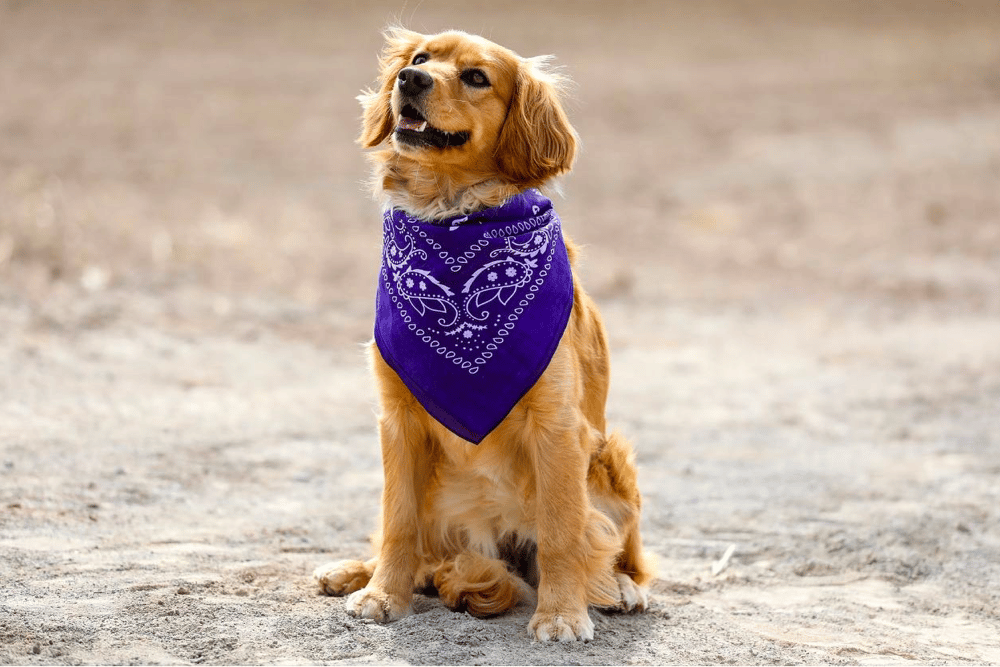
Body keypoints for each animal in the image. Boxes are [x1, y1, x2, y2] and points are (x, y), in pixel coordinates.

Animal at [314, 27, 656, 640]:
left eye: (476, 77)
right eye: (420, 58)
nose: (410, 80)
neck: (454, 217)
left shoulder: (557, 424)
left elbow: (564, 531)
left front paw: (562, 613)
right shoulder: (397, 418)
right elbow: (397, 520)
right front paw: (383, 594)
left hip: (610, 456)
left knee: (619, 549)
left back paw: (621, 587)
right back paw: (355, 570)